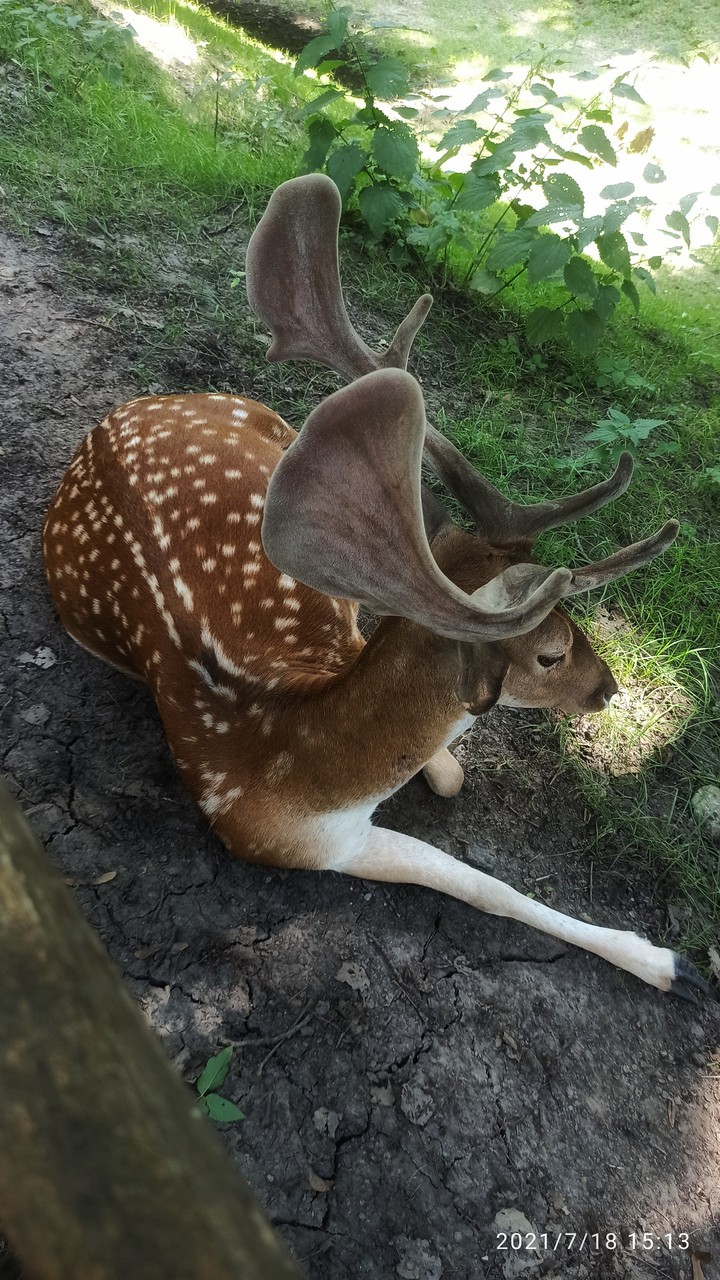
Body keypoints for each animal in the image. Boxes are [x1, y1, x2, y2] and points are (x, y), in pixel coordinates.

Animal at [42, 173, 708, 1001]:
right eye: (552, 650)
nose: (609, 689)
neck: (293, 758)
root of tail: (121, 412)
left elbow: (456, 801)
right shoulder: (292, 838)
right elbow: (485, 884)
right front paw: (669, 963)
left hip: (271, 420)